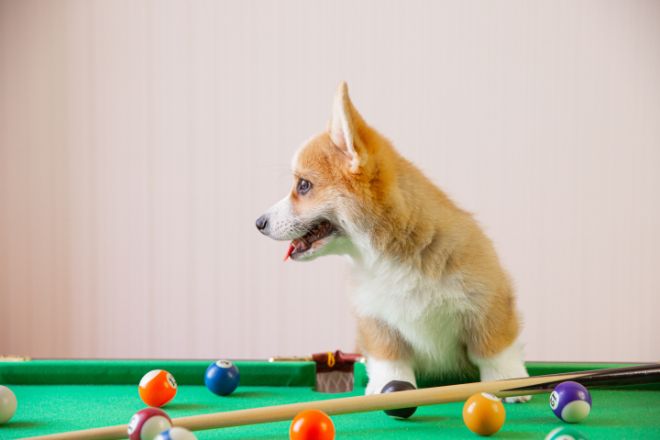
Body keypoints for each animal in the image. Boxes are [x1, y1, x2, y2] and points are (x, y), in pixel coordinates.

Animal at [256, 81, 532, 400]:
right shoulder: (376, 322)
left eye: (303, 185)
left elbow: (493, 350)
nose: (258, 223)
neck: (387, 254)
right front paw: (388, 387)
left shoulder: (488, 305)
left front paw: (507, 381)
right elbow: (390, 358)